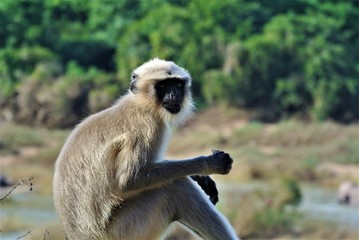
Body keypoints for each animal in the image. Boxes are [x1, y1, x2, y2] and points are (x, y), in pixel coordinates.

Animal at [53, 58, 239, 240]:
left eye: (177, 84)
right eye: (163, 85)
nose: (173, 95)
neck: (141, 105)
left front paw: (201, 177)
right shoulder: (148, 128)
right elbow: (130, 180)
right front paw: (208, 164)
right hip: (124, 229)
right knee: (176, 187)